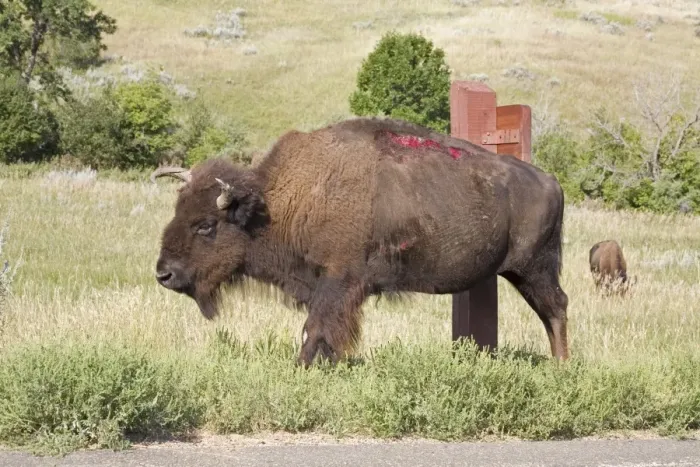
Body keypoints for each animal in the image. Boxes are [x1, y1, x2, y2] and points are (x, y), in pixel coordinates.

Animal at [151, 117, 570, 366]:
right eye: (177, 210)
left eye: (206, 225)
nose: (163, 274)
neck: (280, 201)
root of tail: (552, 182)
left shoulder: (338, 282)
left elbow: (316, 328)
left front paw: (304, 365)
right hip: (524, 273)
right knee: (551, 311)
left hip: (535, 269)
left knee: (556, 308)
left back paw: (562, 365)